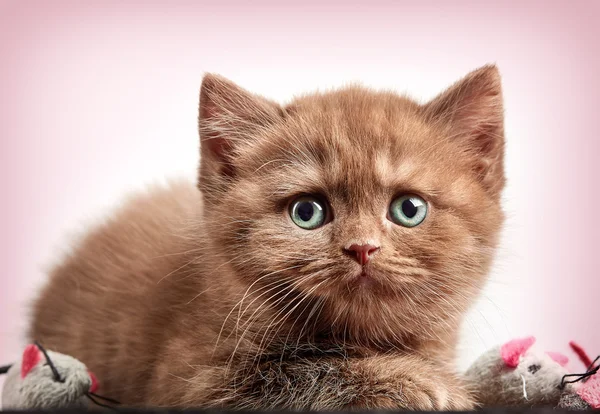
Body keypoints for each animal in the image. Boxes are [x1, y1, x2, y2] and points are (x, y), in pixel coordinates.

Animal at [29, 66, 506, 410]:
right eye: (307, 212)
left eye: (409, 209)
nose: (362, 248)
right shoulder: (189, 382)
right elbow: (305, 370)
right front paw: (418, 382)